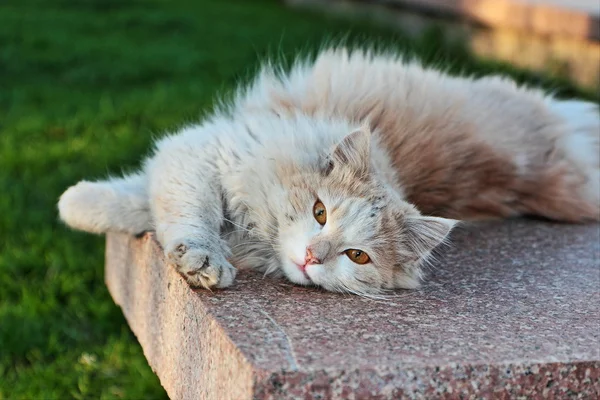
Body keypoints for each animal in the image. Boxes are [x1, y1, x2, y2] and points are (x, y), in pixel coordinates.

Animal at [58, 47, 600, 296]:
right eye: (319, 212)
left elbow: (156, 206)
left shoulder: (198, 155)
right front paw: (78, 201)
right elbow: (164, 204)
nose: (312, 257)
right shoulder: (205, 152)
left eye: (357, 256)